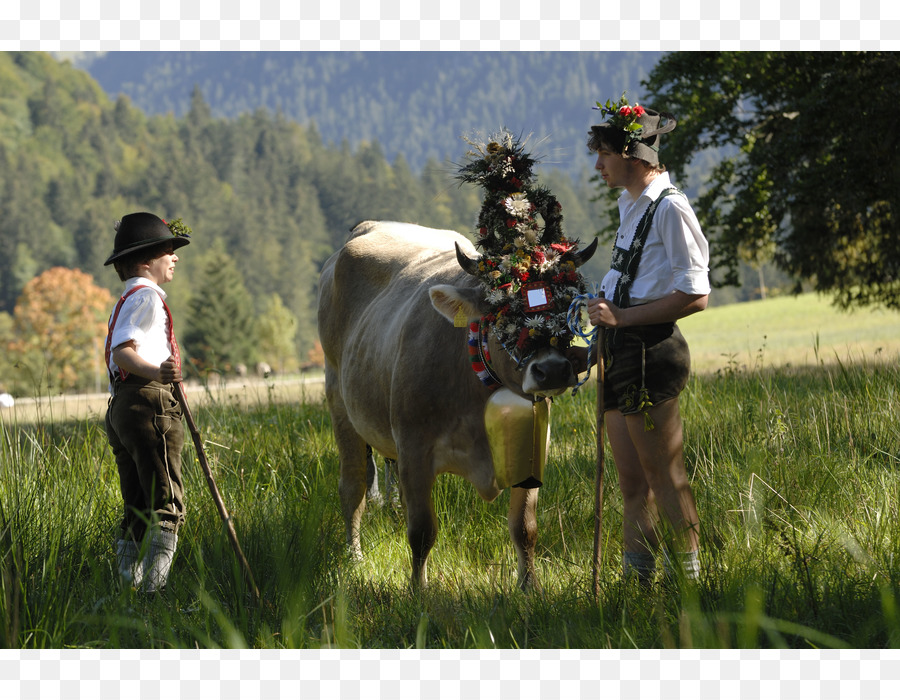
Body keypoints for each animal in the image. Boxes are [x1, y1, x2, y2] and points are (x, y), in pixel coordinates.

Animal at [318, 220, 596, 592]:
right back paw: (355, 558)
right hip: (339, 403)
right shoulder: (414, 449)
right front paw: (418, 591)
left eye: (567, 307)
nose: (551, 370)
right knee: (353, 489)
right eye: (502, 312)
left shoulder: (533, 448)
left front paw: (530, 587)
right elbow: (422, 531)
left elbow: (525, 527)